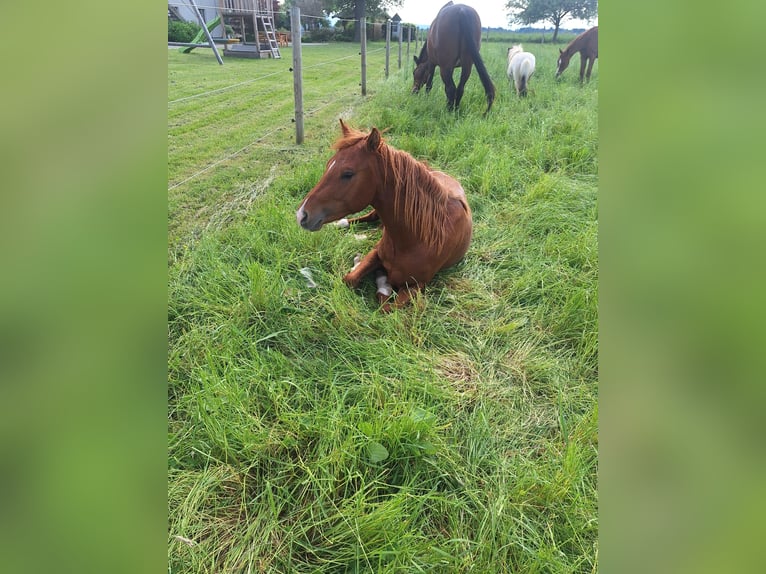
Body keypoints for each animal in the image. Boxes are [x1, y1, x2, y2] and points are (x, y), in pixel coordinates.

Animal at [296, 118, 472, 312]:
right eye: (328, 165)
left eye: (348, 173)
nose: (302, 215)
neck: (416, 238)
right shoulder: (376, 253)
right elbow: (349, 279)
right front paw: (362, 267)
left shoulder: (418, 285)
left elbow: (387, 306)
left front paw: (382, 280)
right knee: (368, 217)